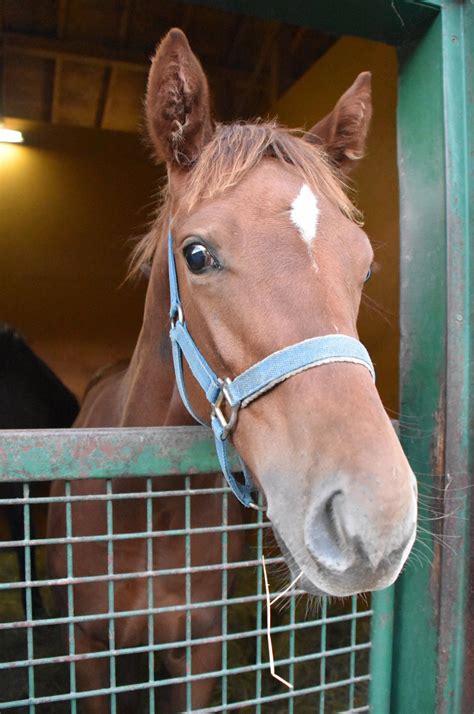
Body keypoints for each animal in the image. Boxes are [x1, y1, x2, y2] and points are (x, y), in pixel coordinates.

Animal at [46, 29, 416, 712]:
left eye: (366, 265)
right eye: (197, 255)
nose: (373, 518)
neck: (149, 509)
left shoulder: (199, 654)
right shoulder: (88, 650)